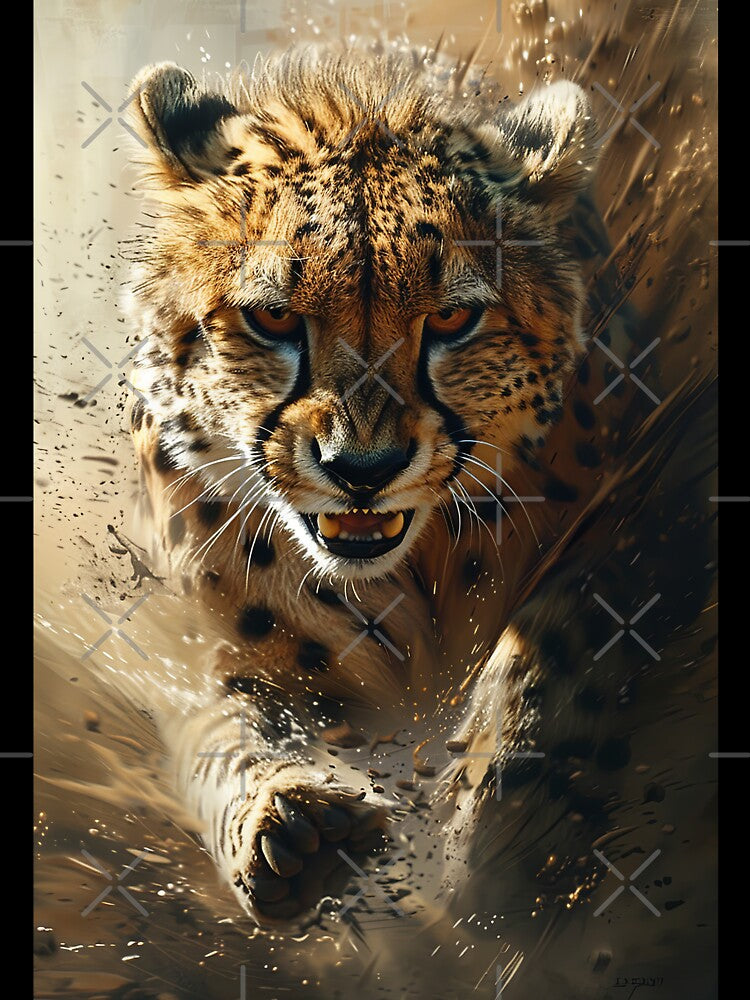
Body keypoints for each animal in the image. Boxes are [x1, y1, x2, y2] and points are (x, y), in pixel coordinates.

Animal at [124, 40, 715, 952]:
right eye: (272, 319)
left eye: (450, 322)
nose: (362, 467)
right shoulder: (190, 633)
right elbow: (225, 717)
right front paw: (291, 820)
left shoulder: (660, 485)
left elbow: (567, 632)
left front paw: (499, 822)